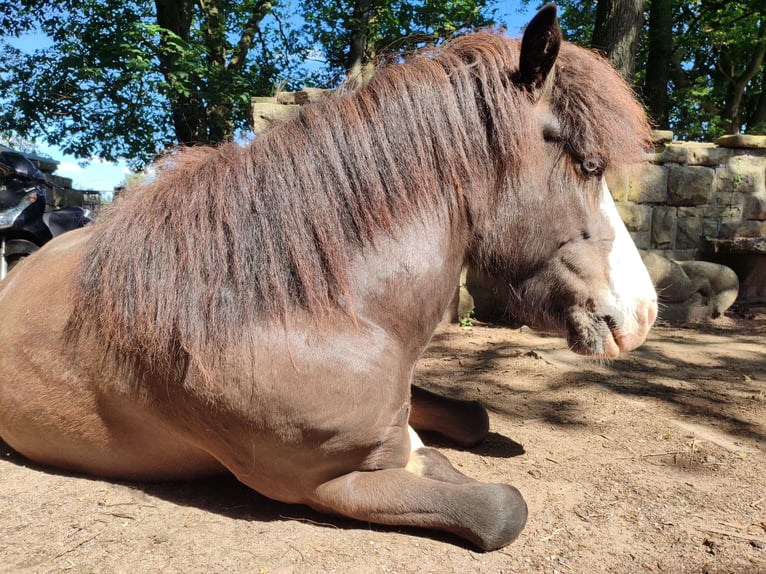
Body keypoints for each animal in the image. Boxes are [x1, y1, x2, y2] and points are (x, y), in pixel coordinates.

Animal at [1, 4, 660, 552]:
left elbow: (467, 423)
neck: (295, 311)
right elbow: (502, 508)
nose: (645, 312)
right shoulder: (322, 483)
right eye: (589, 165)